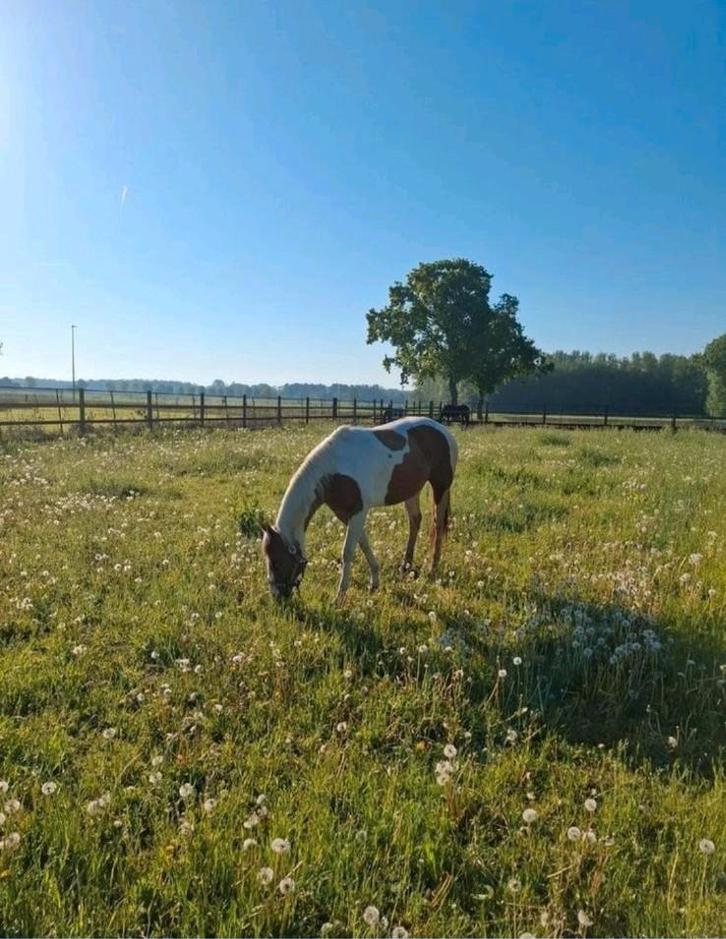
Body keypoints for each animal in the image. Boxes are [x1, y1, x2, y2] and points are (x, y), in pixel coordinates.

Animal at [261, 416, 458, 600]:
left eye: (276, 562)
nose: (277, 597)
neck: (335, 468)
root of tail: (444, 431)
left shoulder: (358, 512)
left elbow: (348, 551)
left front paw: (340, 595)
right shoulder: (344, 514)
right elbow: (363, 543)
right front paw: (375, 582)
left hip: (440, 486)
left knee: (438, 525)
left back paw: (432, 570)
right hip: (411, 490)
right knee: (415, 522)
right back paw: (405, 566)